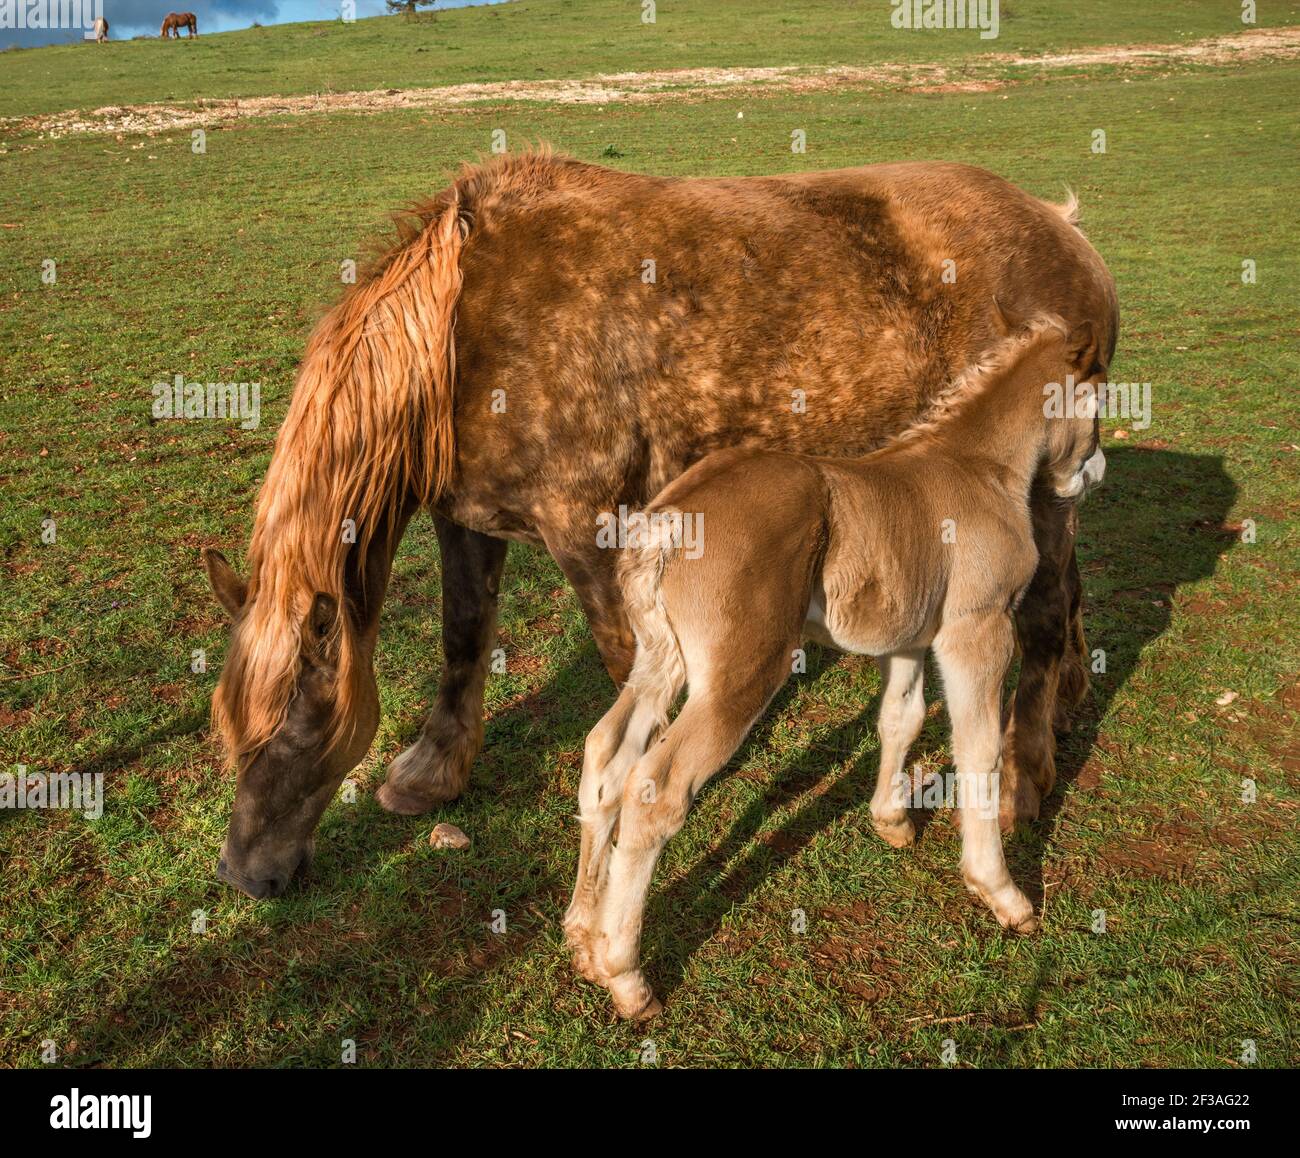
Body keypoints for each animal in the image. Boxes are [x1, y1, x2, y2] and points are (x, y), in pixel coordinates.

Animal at [201, 150, 1117, 900]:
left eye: (297, 726)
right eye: (231, 731)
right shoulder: (467, 521)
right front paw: (433, 772)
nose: (246, 877)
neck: (464, 333)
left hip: (1045, 490)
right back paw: (1071, 701)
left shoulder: (593, 530)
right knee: (1069, 592)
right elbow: (463, 639)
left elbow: (630, 671)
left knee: (1041, 616)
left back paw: (1025, 778)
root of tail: (1064, 228)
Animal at [565, 311, 1107, 1019]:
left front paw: (892, 822)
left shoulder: (908, 640)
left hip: (662, 661)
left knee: (606, 756)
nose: (1094, 473)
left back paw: (582, 936)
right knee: (655, 788)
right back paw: (626, 976)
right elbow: (980, 749)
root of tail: (671, 519)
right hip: (741, 674)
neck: (978, 467)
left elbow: (901, 720)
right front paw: (1001, 892)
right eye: (1097, 399)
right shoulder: (977, 629)